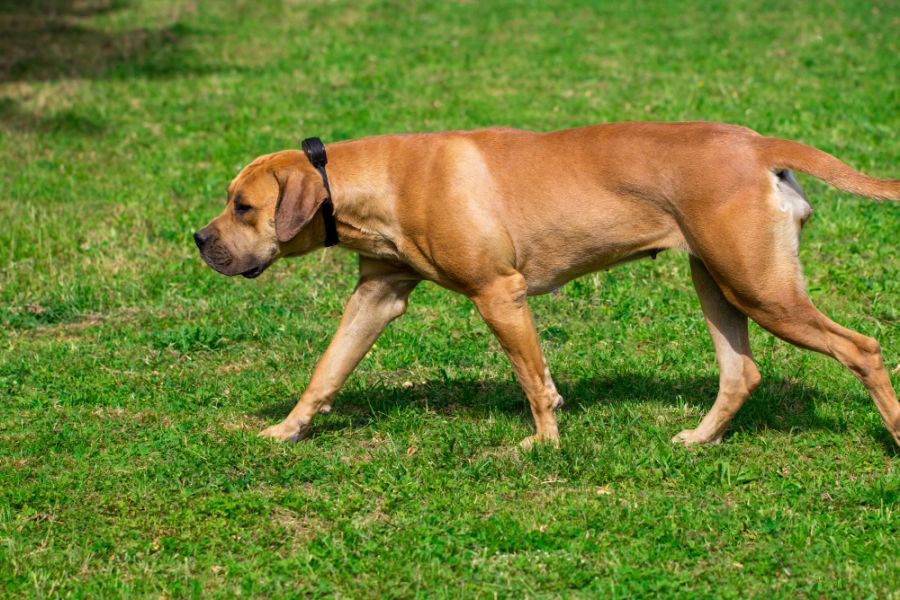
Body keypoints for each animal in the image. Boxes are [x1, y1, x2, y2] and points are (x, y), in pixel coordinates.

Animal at [197, 120, 900, 446]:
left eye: (243, 207)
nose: (200, 240)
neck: (379, 181)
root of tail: (758, 144)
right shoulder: (376, 296)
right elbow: (327, 371)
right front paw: (285, 432)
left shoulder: (499, 295)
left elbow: (534, 381)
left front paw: (543, 445)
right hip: (718, 282)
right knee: (741, 373)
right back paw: (701, 439)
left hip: (761, 290)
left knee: (862, 349)